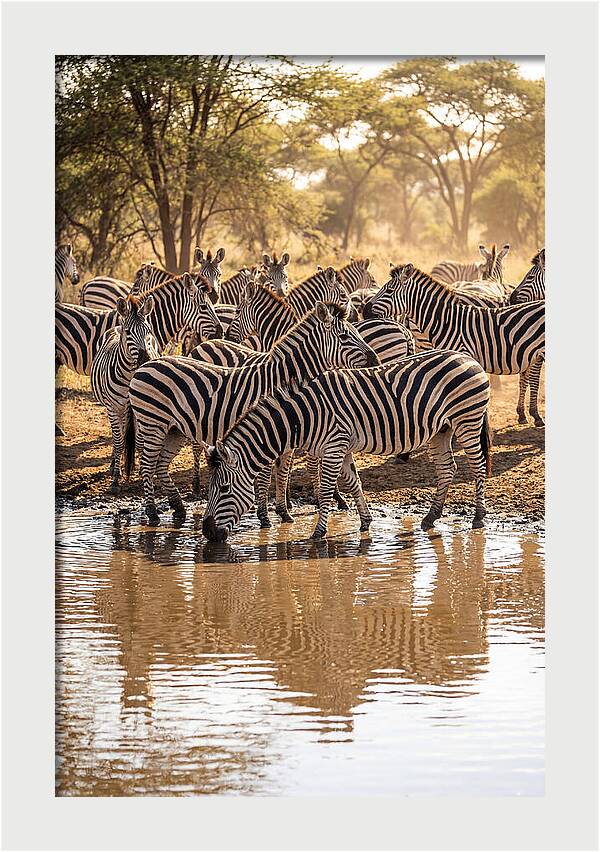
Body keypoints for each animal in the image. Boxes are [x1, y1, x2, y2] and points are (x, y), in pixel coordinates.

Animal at [90, 294, 160, 493]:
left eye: (149, 331)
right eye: (128, 333)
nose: (146, 360)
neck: (130, 376)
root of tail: (116, 327)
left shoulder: (143, 410)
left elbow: (140, 441)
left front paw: (144, 473)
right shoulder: (114, 408)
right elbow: (119, 441)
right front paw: (115, 479)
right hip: (114, 409)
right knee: (118, 437)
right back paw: (114, 464)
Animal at [125, 303, 379, 525]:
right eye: (345, 336)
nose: (375, 360)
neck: (282, 380)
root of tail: (144, 365)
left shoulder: (286, 433)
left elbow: (283, 472)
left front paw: (284, 513)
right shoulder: (268, 430)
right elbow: (266, 475)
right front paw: (264, 516)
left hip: (175, 429)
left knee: (160, 465)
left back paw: (178, 508)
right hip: (153, 424)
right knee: (147, 465)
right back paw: (152, 513)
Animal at [202, 349, 492, 542]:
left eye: (224, 488)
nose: (207, 531)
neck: (304, 415)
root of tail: (468, 358)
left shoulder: (334, 446)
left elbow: (326, 491)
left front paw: (318, 533)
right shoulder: (341, 447)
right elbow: (354, 483)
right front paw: (365, 521)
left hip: (467, 419)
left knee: (477, 466)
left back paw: (478, 516)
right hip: (440, 430)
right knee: (447, 469)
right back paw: (431, 516)